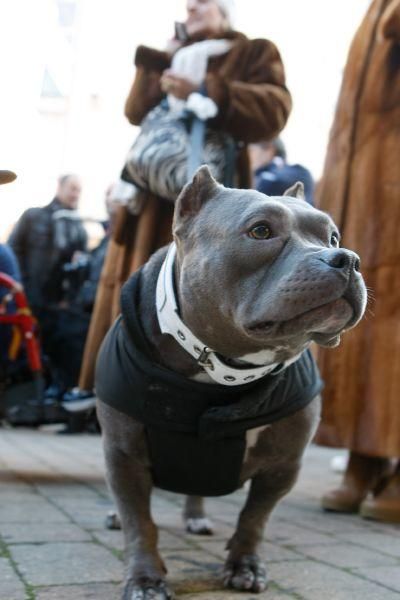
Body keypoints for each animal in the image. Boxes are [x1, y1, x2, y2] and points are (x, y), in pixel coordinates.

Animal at [95, 165, 368, 600]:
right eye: (260, 231)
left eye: (333, 238)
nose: (348, 259)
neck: (220, 371)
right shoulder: (123, 454)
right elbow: (140, 522)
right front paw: (145, 579)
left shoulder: (283, 466)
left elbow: (254, 519)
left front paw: (245, 565)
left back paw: (196, 517)